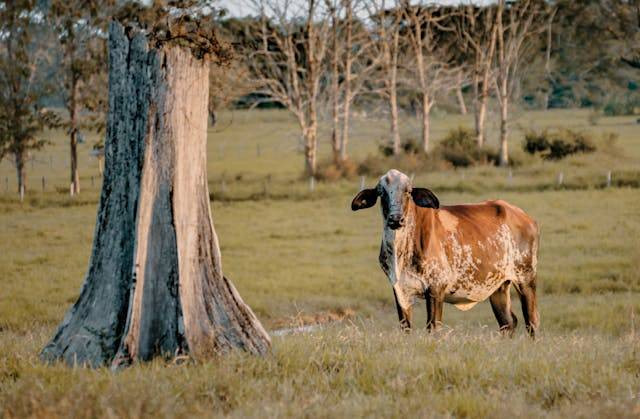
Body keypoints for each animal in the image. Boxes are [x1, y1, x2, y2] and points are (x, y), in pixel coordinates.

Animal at [350, 170, 540, 338]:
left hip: (526, 278)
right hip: (498, 286)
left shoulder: (436, 287)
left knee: (532, 321)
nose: (396, 219)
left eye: (408, 192)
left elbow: (433, 327)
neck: (400, 251)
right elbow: (406, 328)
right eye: (381, 193)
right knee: (508, 322)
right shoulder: (399, 289)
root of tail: (524, 216)